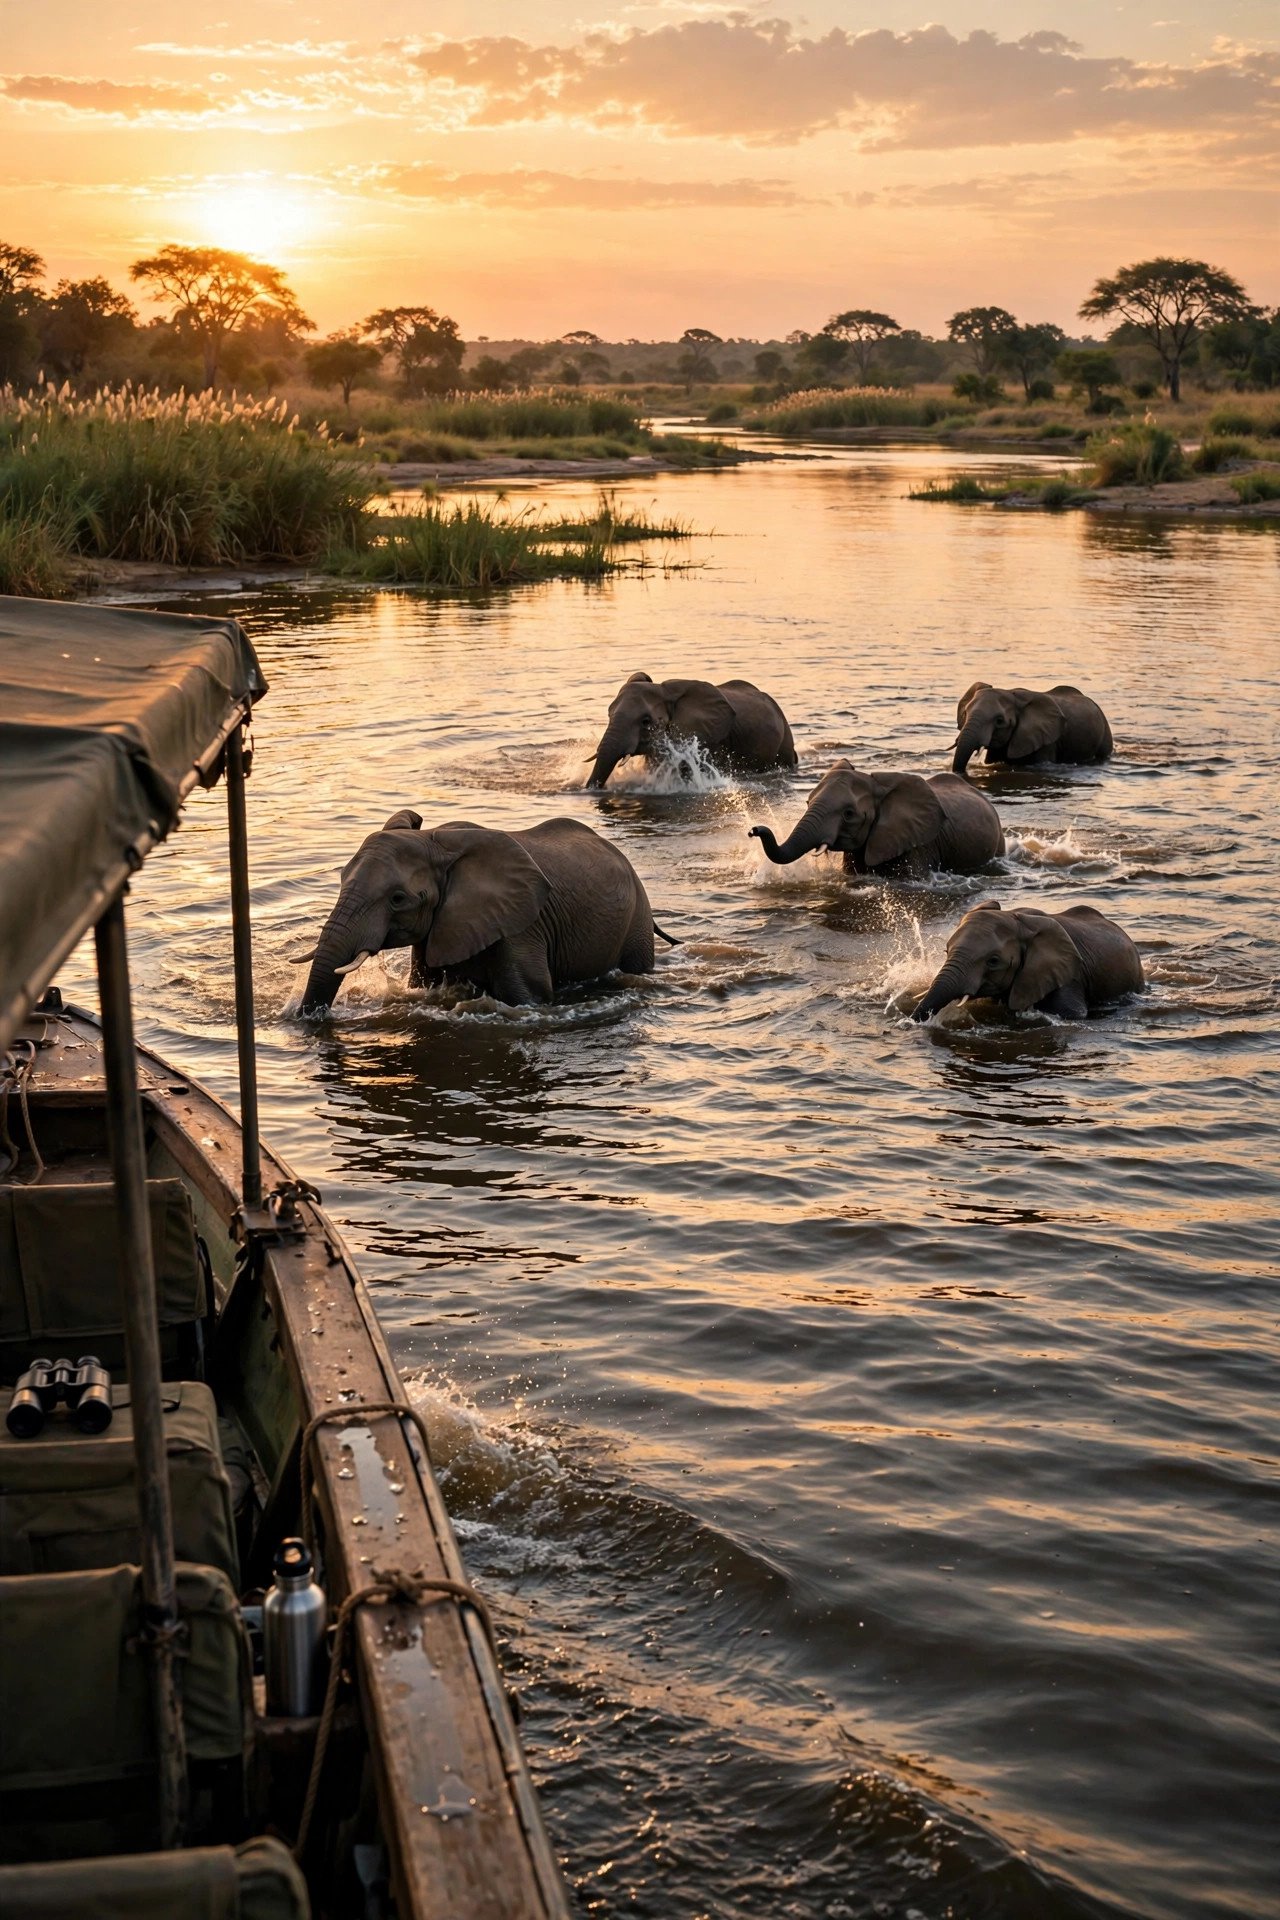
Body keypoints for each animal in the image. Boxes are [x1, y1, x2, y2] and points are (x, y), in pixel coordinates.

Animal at [300, 812, 661, 1011]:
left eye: (398, 899)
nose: (308, 1017)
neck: (435, 841)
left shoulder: (520, 928)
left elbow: (530, 996)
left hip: (638, 921)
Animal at [912, 900, 1143, 1021]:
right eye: (946, 950)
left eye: (993, 961)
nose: (912, 1020)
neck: (1017, 919)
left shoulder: (1068, 978)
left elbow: (1071, 1014)